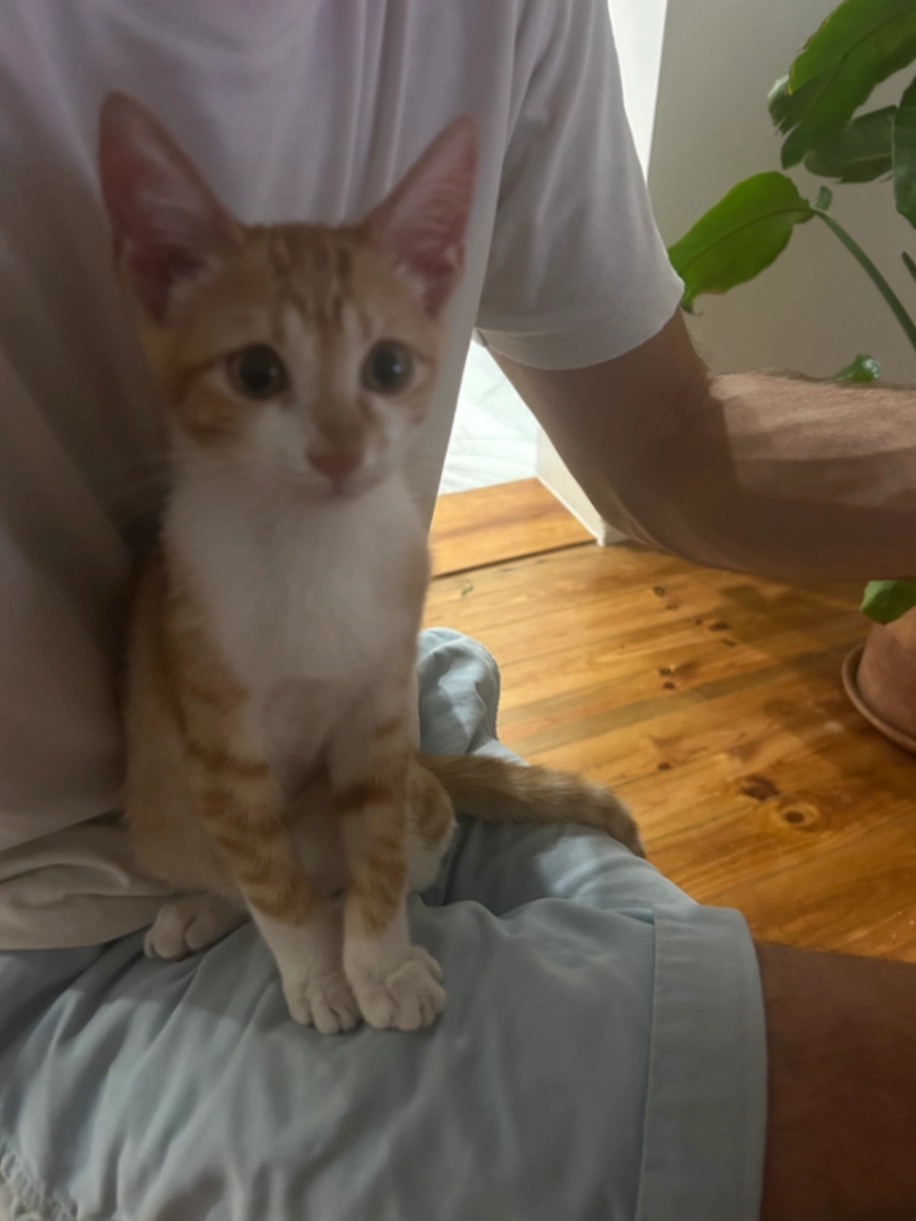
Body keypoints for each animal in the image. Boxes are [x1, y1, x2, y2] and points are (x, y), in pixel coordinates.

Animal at [100, 93, 644, 1035]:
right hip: (160, 807)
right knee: (240, 860)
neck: (312, 549)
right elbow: (267, 876)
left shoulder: (383, 714)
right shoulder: (216, 736)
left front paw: (378, 963)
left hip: (416, 791)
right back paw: (206, 906)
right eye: (256, 371)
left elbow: (377, 851)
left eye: (387, 365)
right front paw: (318, 973)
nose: (340, 450)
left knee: (389, 848)